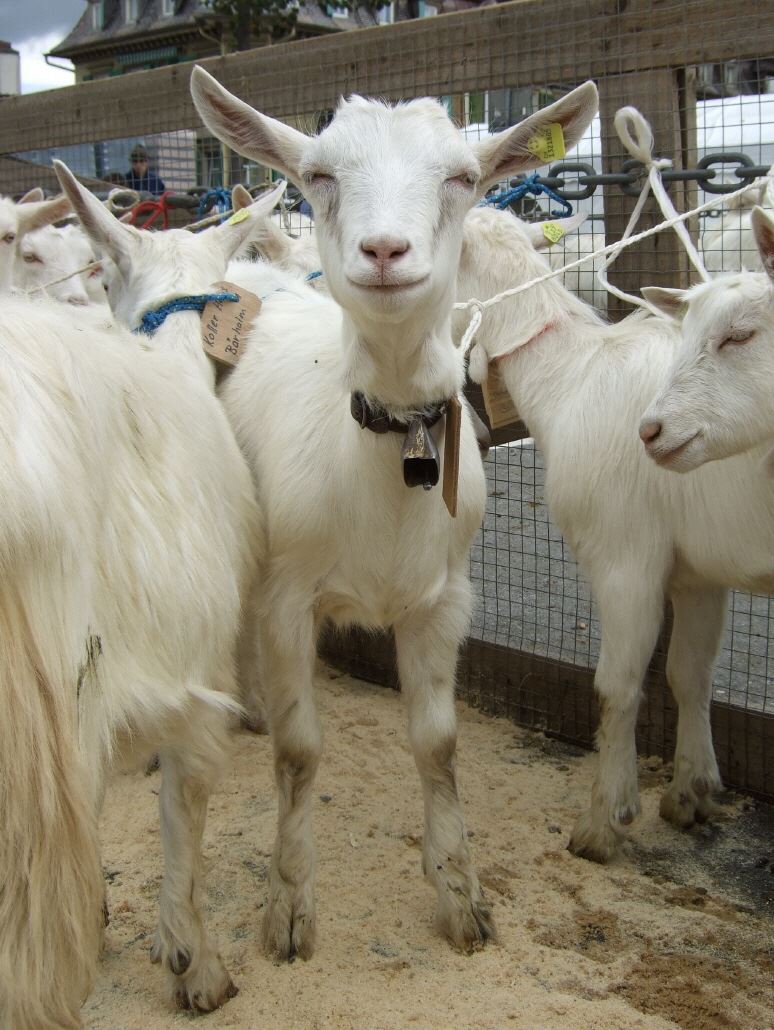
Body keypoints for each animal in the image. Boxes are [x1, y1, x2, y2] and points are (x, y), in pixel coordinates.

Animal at [191, 65, 599, 958]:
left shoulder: (444, 599)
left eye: (462, 177)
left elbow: (438, 745)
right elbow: (300, 752)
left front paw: (462, 899)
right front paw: (289, 911)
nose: (384, 252)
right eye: (317, 174)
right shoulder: (289, 598)